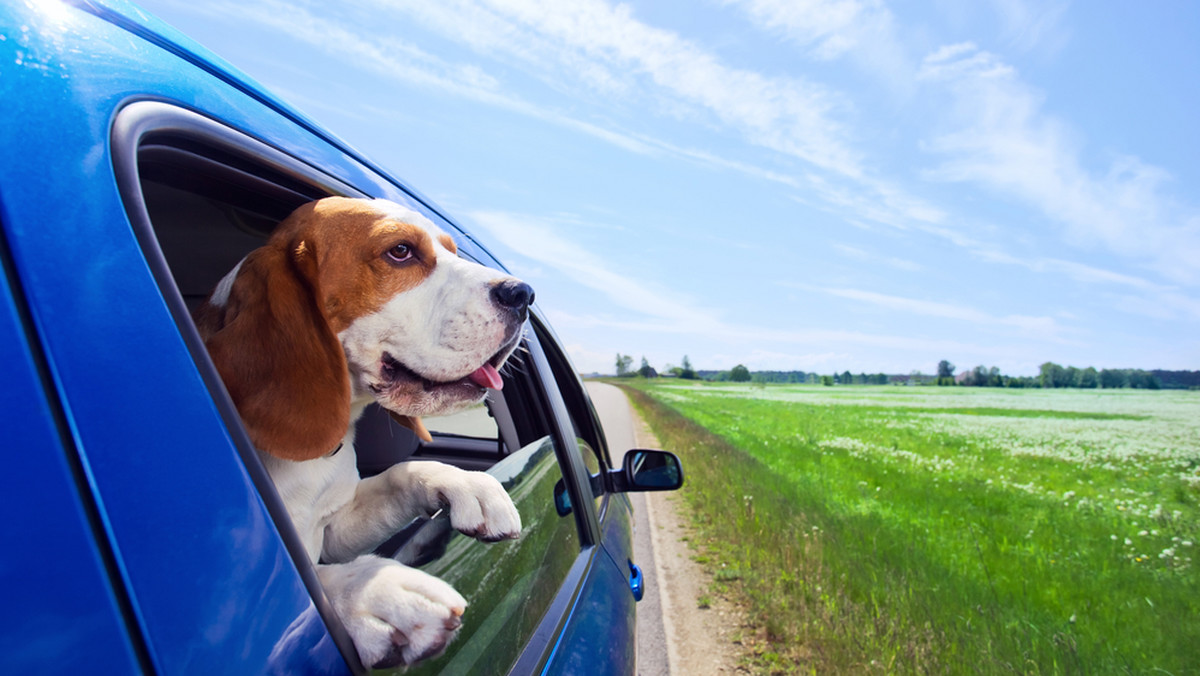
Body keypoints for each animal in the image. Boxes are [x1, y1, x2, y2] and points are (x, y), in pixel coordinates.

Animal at [193, 196, 530, 672]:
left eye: (452, 251)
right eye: (400, 252)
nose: (524, 294)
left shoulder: (336, 527)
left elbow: (401, 474)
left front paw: (468, 484)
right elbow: (317, 582)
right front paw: (375, 591)